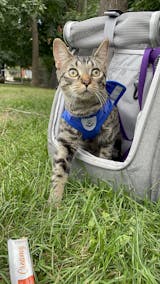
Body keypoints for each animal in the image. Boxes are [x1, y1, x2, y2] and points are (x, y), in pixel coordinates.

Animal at [48, 38, 120, 206]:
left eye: (95, 71)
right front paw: (54, 201)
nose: (86, 81)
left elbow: (103, 160)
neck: (86, 112)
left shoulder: (108, 139)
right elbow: (59, 169)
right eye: (73, 72)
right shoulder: (66, 140)